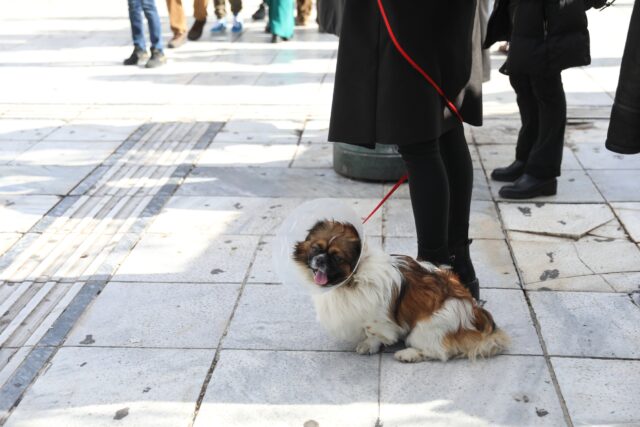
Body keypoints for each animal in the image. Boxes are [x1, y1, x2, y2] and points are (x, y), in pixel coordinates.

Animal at [296, 221, 510, 364]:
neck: (353, 278)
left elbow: (373, 332)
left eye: (337, 258)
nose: (320, 260)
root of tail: (475, 314)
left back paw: (408, 354)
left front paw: (368, 345)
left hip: (424, 329)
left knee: (440, 352)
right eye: (315, 248)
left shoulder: (376, 317)